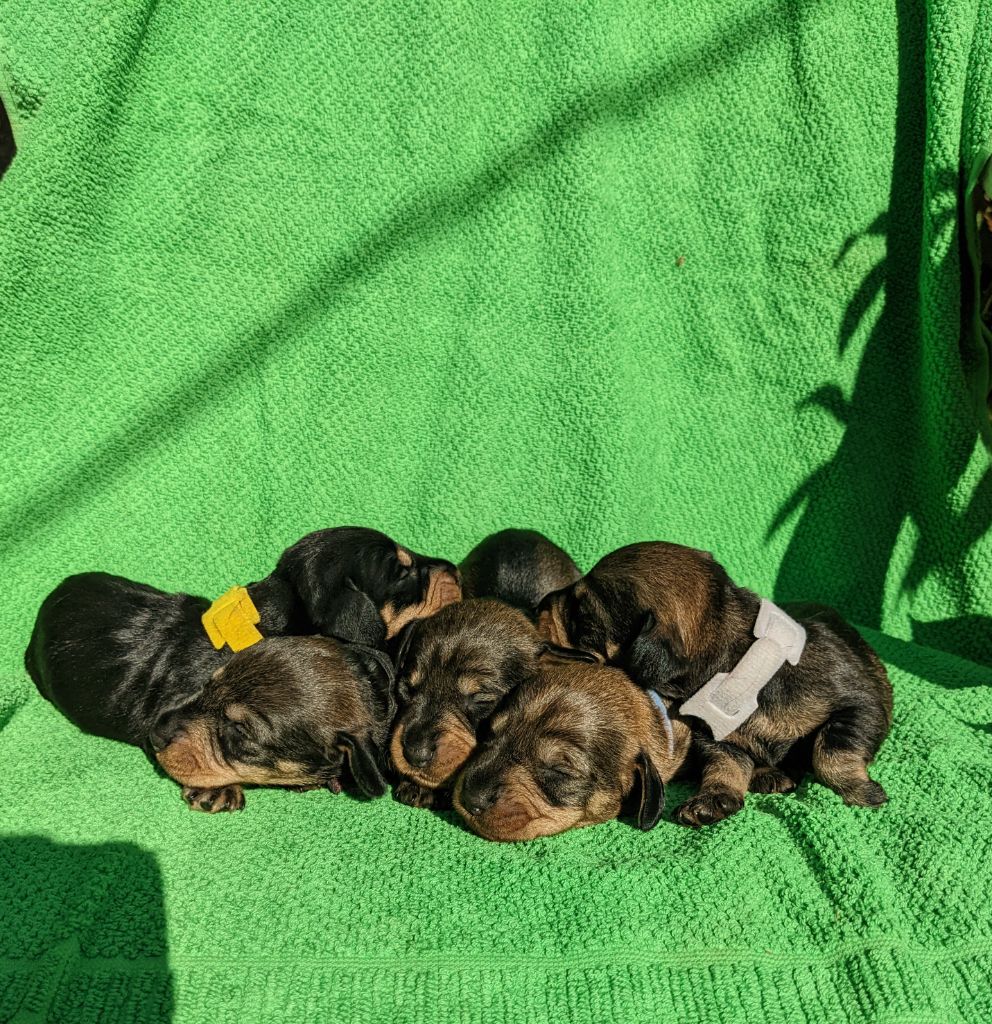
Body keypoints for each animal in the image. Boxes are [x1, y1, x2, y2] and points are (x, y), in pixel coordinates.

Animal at [536, 544, 892, 823]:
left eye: (582, 616)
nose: (539, 605)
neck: (742, 672)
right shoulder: (713, 737)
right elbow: (724, 764)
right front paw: (712, 800)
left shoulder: (858, 704)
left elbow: (831, 752)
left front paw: (862, 792)